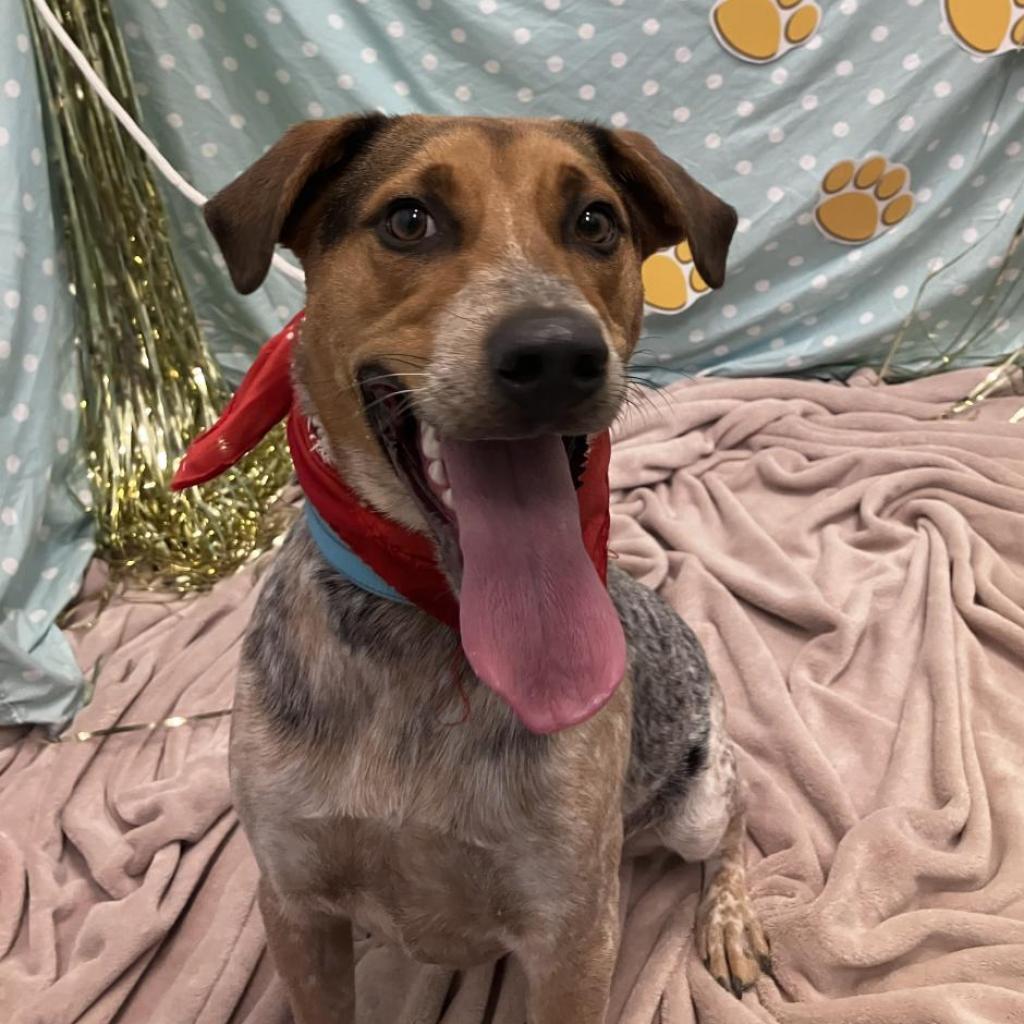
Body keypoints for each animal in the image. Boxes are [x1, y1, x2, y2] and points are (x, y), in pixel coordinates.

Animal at [203, 116, 770, 1019]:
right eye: (409, 220)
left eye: (595, 222)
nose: (556, 355)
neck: (427, 628)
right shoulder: (293, 904)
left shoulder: (574, 935)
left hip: (695, 800)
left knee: (741, 813)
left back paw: (731, 919)